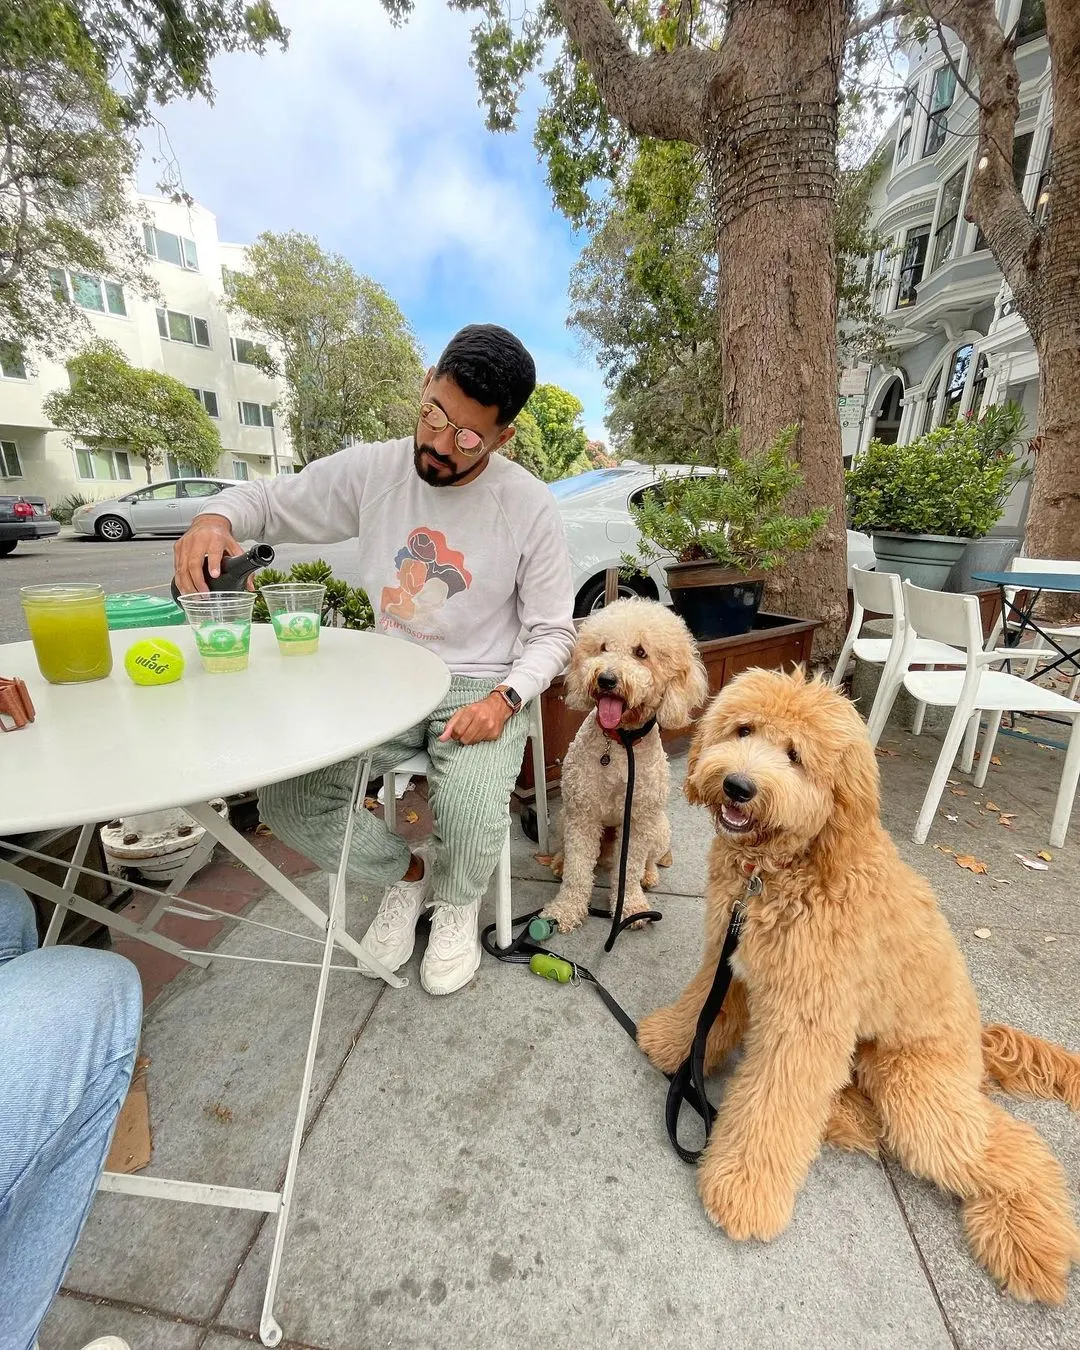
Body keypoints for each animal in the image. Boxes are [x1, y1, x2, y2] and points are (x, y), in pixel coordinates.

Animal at [540, 604, 707, 934]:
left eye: (641, 652)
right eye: (603, 647)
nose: (605, 679)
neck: (619, 745)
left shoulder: (638, 822)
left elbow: (628, 869)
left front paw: (632, 907)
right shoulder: (582, 815)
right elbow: (578, 869)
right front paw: (566, 909)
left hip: (659, 828)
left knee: (649, 860)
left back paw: (649, 875)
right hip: (565, 817)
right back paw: (560, 862)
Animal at [637, 669, 1074, 1301]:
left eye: (795, 756)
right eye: (743, 730)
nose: (738, 786)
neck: (781, 870)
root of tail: (980, 1042)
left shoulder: (805, 1020)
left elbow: (774, 1104)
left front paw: (744, 1190)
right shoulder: (735, 964)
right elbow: (704, 1008)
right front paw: (671, 1042)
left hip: (914, 1087)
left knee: (1008, 1146)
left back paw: (1028, 1243)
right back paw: (846, 1118)